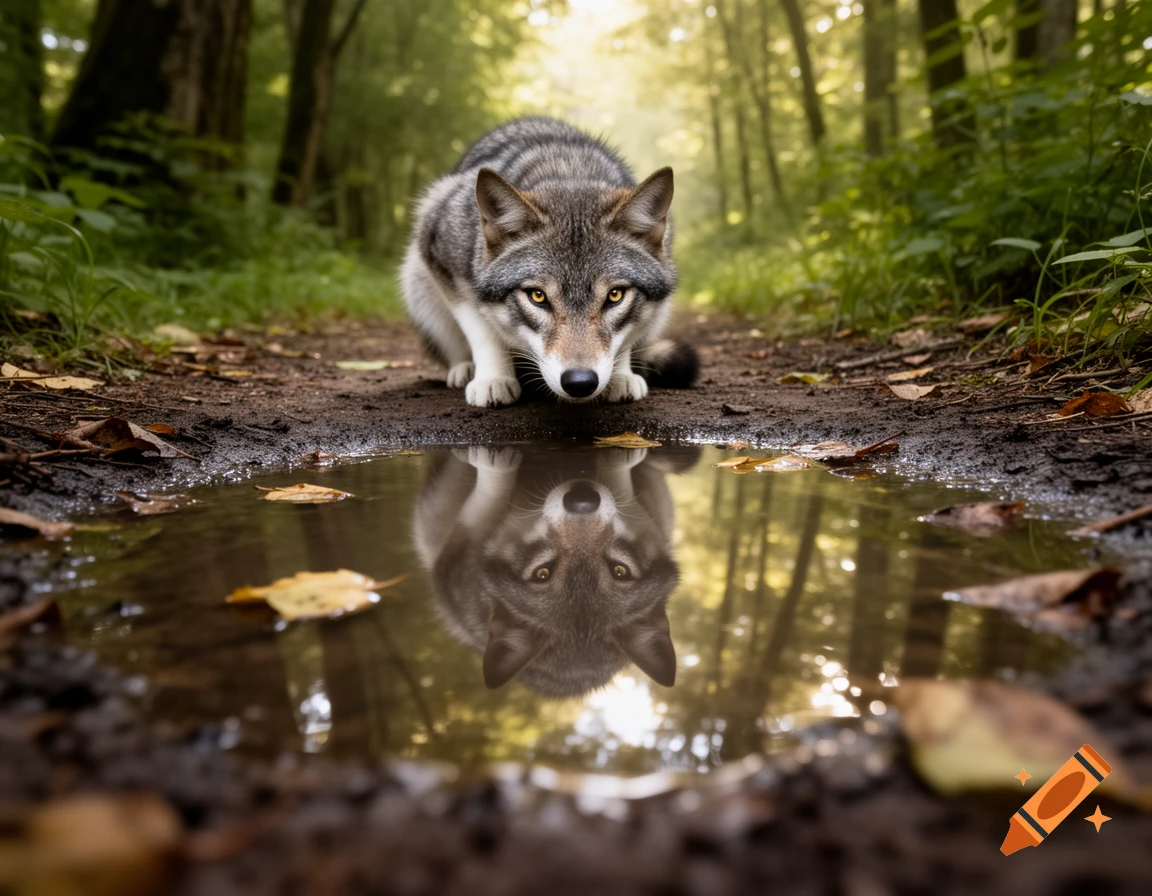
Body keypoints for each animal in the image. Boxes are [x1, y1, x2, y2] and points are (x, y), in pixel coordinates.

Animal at [401, 117, 698, 407]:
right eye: (538, 296)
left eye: (615, 295)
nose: (580, 382)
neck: (568, 169)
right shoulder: (441, 254)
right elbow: (483, 329)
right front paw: (493, 378)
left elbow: (627, 338)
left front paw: (621, 376)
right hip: (417, 284)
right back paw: (464, 369)